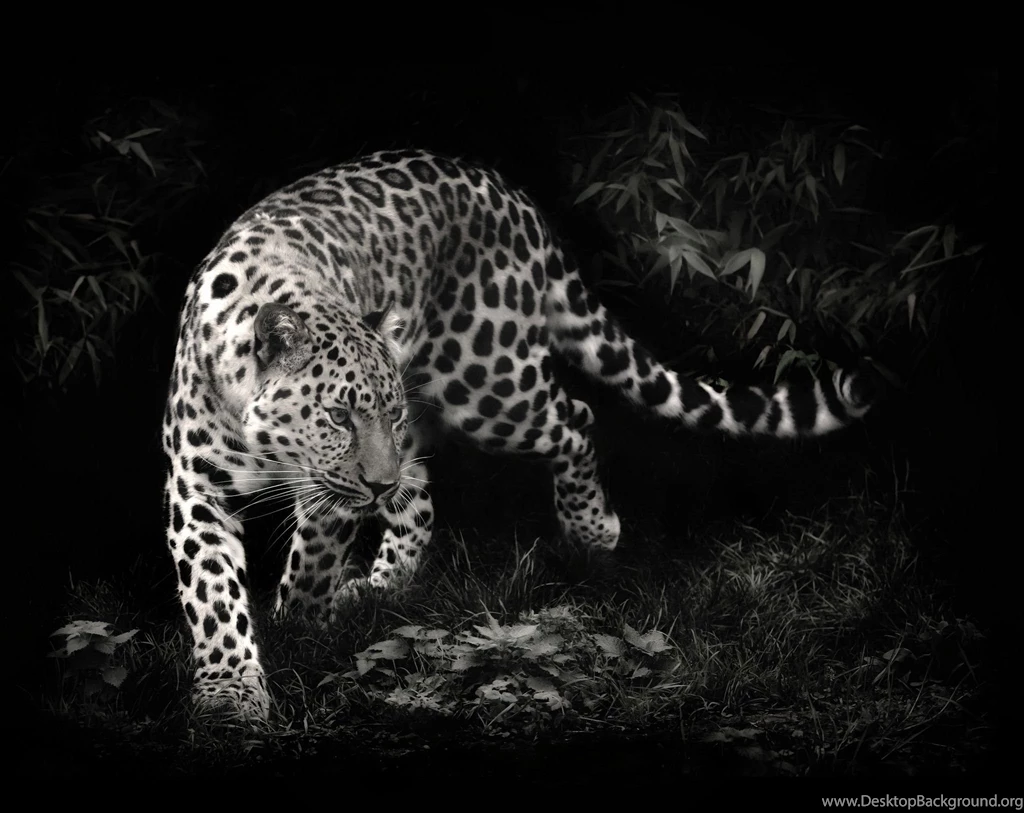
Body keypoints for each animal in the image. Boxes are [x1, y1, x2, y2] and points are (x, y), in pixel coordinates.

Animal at [162, 148, 876, 721]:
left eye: (384, 414)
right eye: (339, 415)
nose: (377, 484)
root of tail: (513, 196)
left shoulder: (335, 489)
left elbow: (312, 558)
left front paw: (300, 626)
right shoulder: (194, 487)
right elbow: (213, 593)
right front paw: (231, 690)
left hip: (488, 384)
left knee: (573, 419)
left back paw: (591, 532)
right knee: (422, 489)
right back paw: (385, 583)